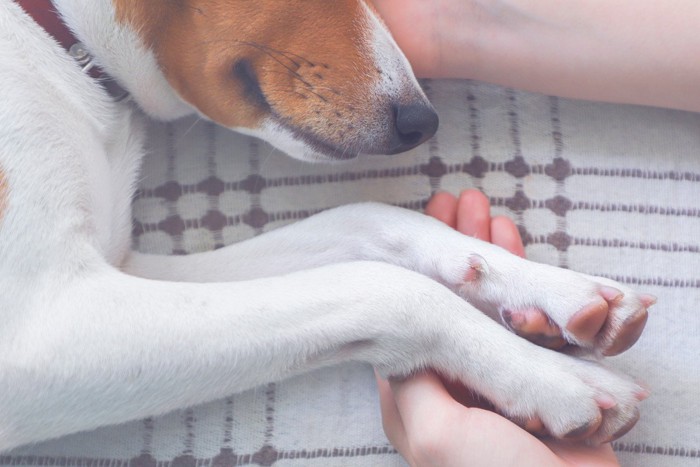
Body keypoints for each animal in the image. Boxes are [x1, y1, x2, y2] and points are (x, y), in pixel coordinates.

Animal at [1, 0, 656, 452]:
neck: (59, 43)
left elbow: (367, 219)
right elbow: (384, 288)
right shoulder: (44, 326)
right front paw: (555, 378)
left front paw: (552, 291)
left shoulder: (118, 266)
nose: (422, 121)